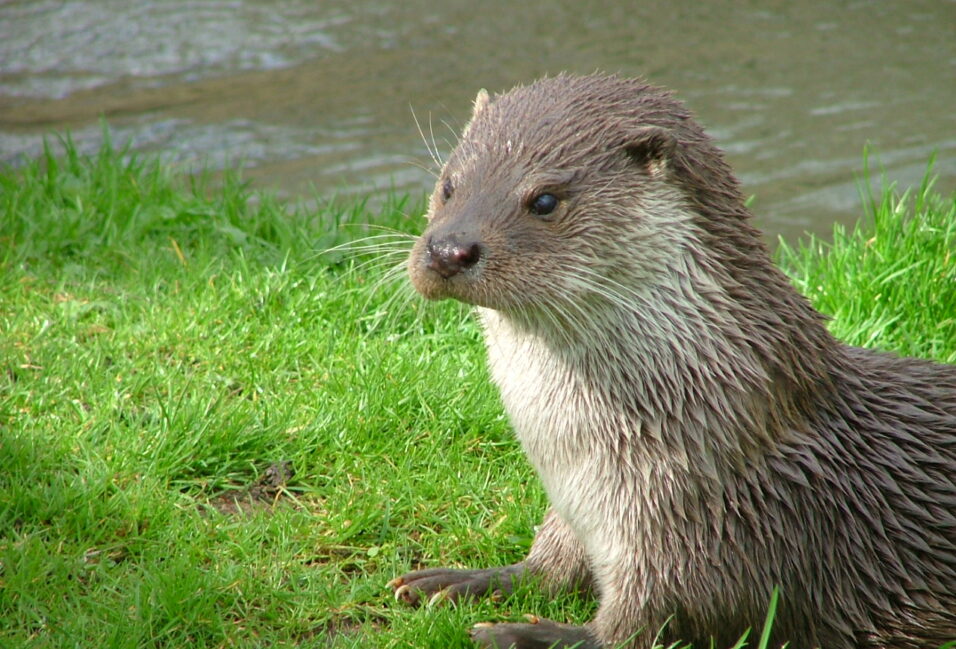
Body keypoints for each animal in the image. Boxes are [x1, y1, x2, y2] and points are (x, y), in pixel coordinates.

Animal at [388, 73, 956, 644]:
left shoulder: (710, 535)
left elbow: (645, 627)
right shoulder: (581, 514)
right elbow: (547, 568)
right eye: (449, 185)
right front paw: (463, 580)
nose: (449, 249)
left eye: (545, 200)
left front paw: (521, 635)